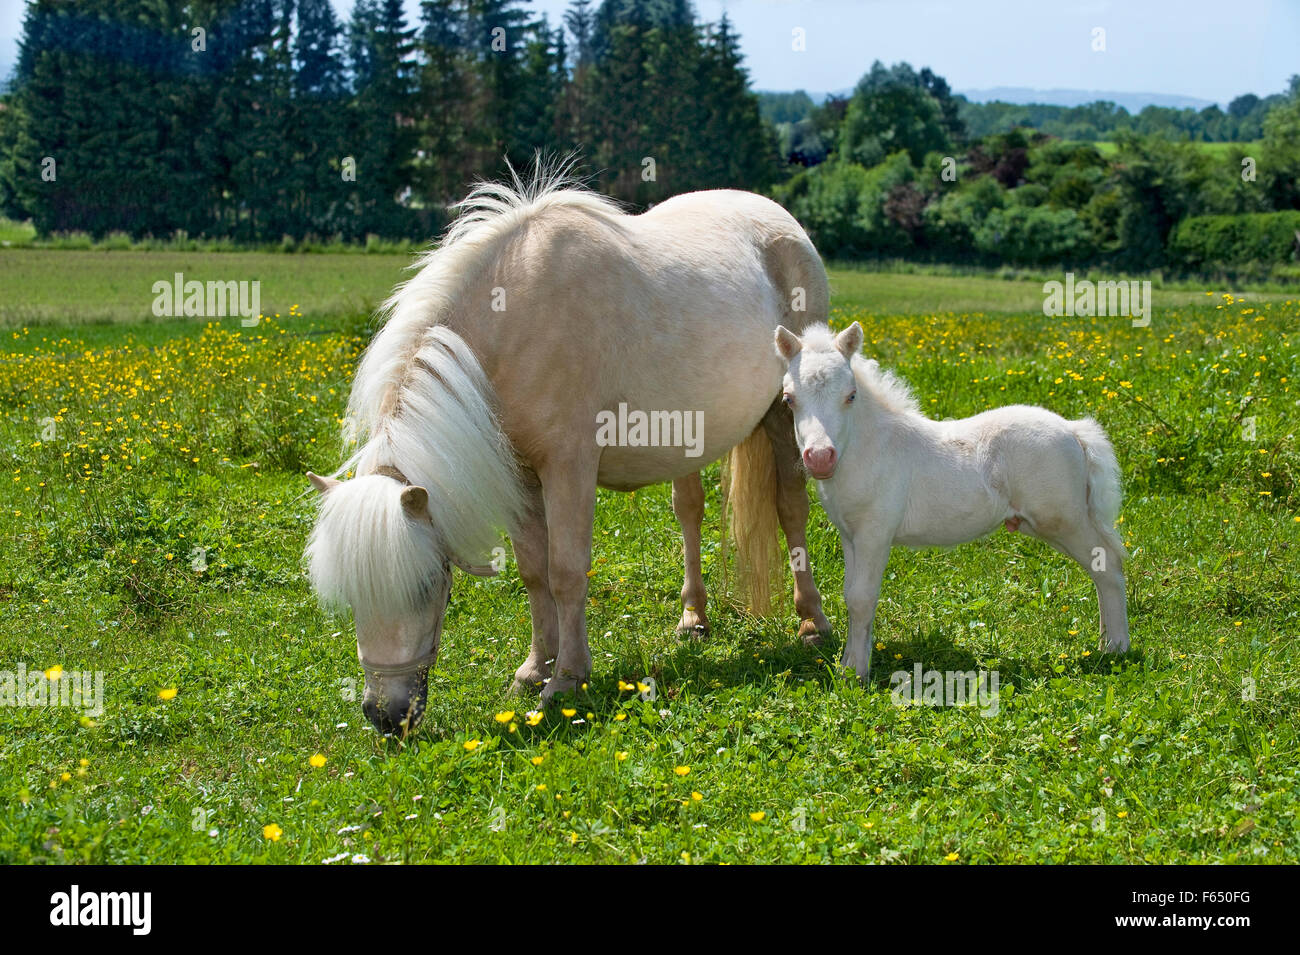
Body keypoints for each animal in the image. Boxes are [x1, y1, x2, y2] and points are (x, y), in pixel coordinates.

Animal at [304, 167, 832, 738]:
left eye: (429, 585)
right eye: (353, 594)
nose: (385, 716)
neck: (512, 324)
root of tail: (778, 220)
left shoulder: (569, 467)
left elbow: (566, 571)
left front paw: (568, 679)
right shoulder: (519, 476)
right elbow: (535, 572)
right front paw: (535, 668)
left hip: (783, 415)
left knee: (791, 508)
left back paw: (812, 622)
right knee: (689, 511)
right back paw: (693, 618)